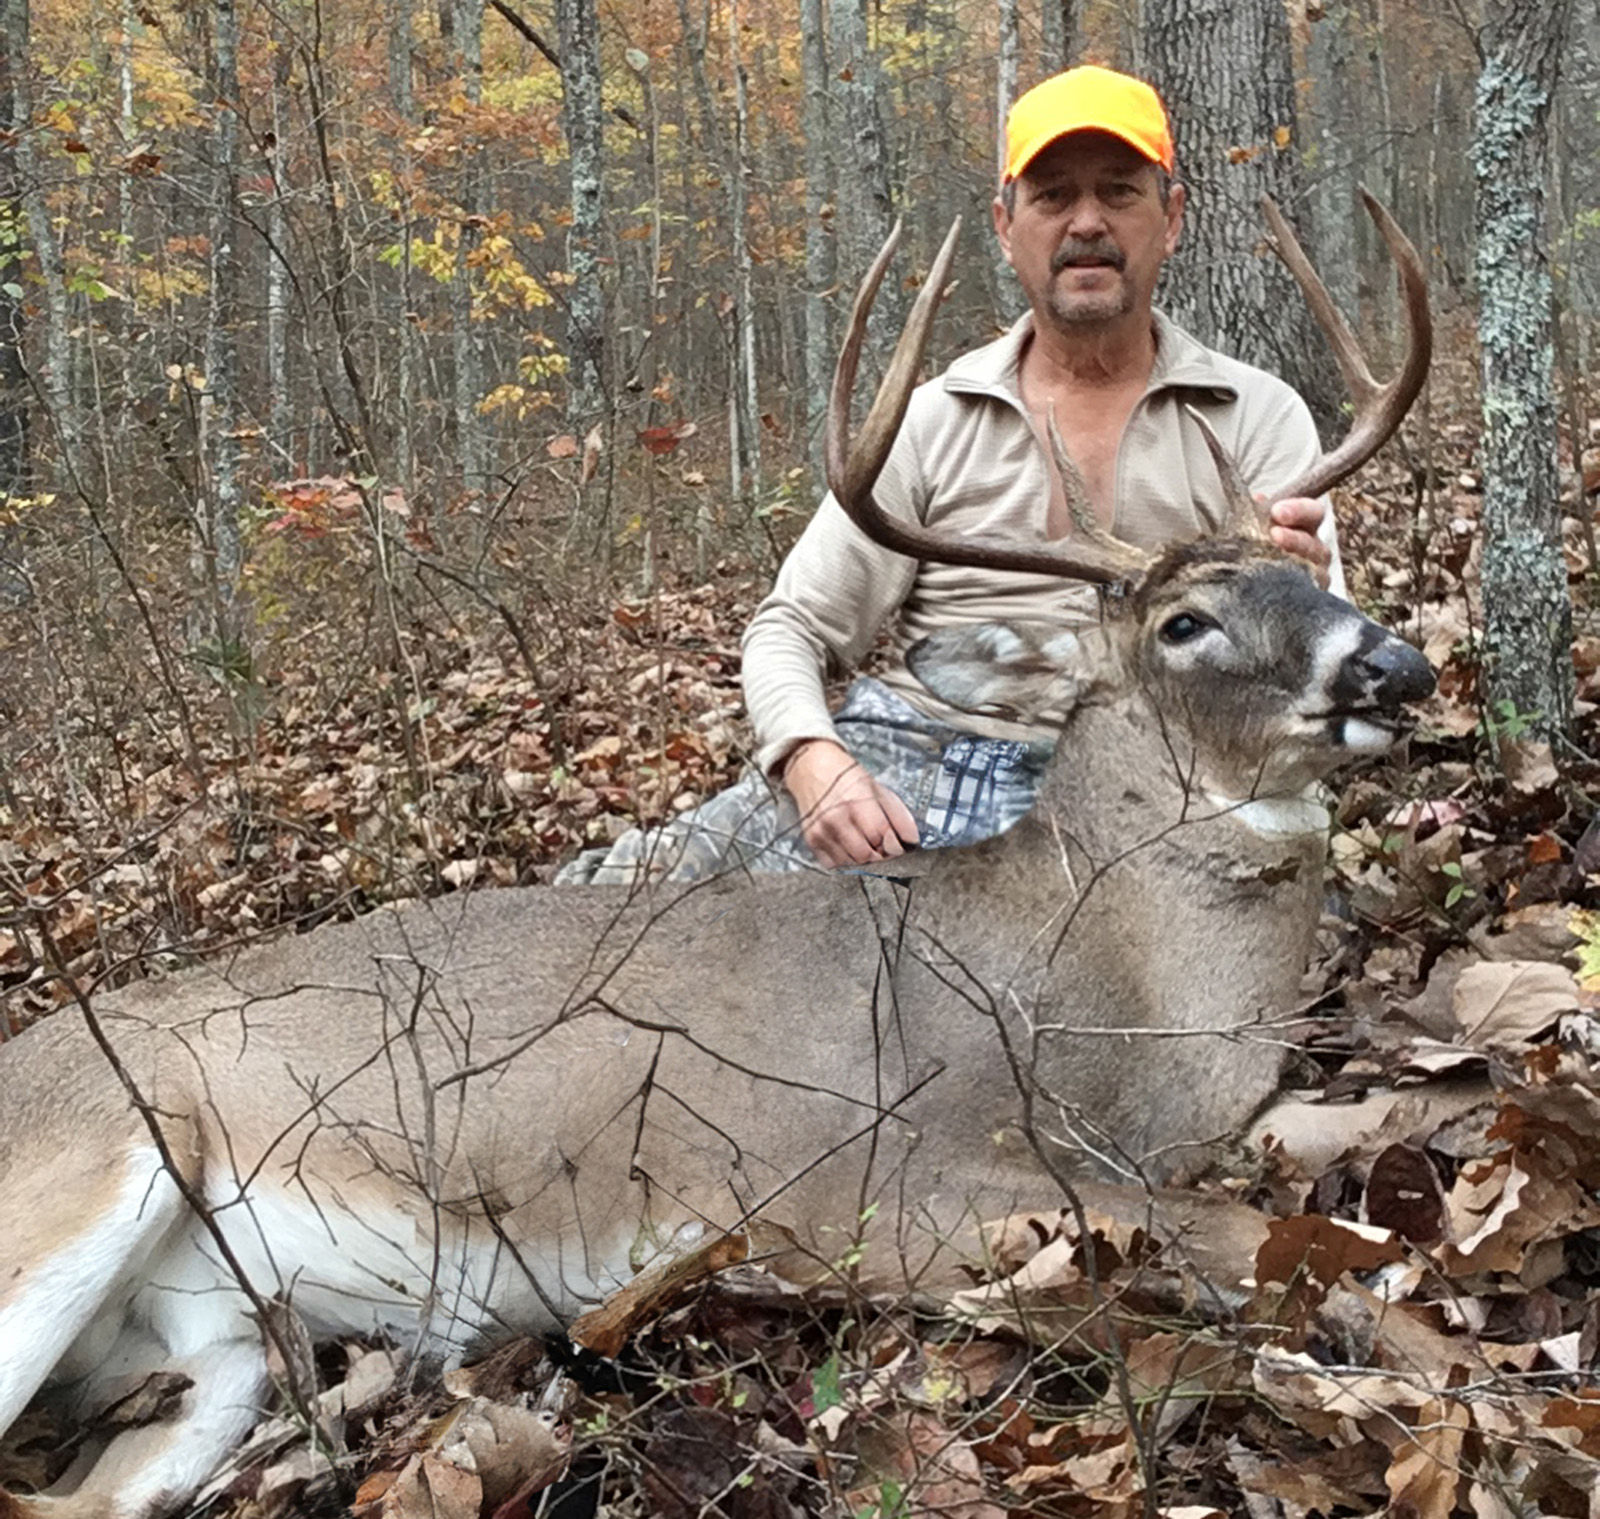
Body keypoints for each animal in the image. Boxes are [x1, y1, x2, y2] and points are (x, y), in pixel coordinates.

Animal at [0, 192, 1427, 1517]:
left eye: (1308, 575)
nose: (1397, 665)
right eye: (1185, 621)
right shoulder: (873, 1182)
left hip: (221, 1352)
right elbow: (1240, 1231)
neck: (1101, 1003)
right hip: (82, 1174)